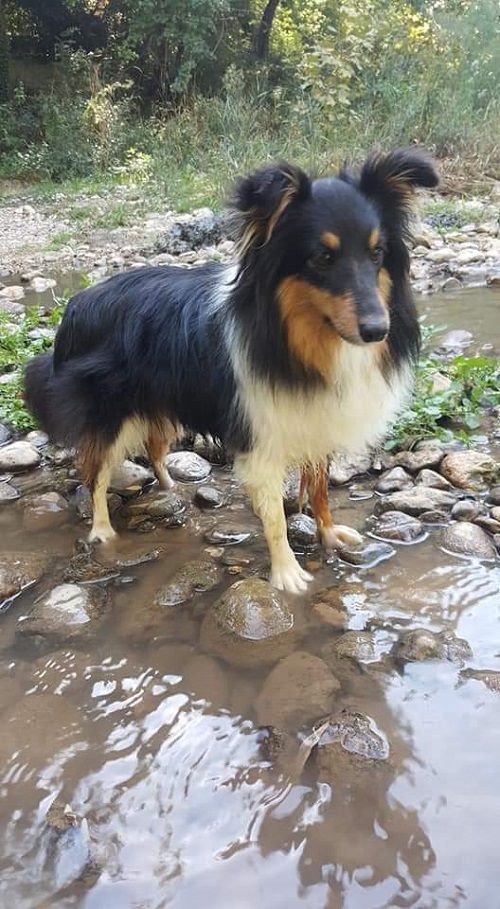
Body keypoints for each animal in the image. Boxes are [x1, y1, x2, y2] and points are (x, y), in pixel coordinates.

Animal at [24, 149, 438, 596]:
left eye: (377, 253)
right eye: (322, 258)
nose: (378, 330)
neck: (296, 338)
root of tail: (76, 304)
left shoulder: (314, 417)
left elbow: (321, 488)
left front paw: (328, 533)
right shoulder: (261, 436)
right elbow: (274, 517)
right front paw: (287, 573)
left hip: (162, 400)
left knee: (154, 446)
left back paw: (170, 488)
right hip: (110, 412)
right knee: (95, 473)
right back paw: (101, 531)